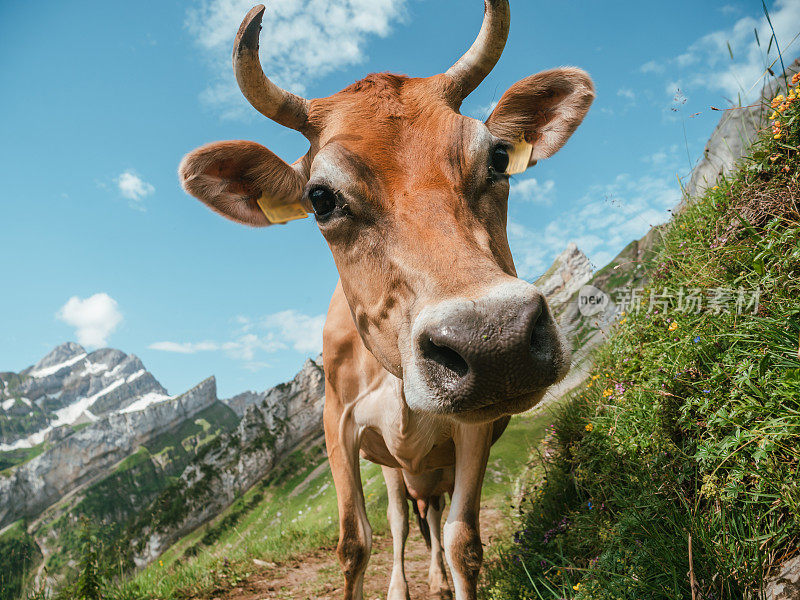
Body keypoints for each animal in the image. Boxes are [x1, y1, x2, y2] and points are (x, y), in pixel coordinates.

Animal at [181, 2, 592, 596]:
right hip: (394, 468)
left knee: (435, 519)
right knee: (402, 520)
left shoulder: (475, 430)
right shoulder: (338, 425)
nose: (495, 341)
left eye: (496, 157)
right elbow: (355, 543)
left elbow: (463, 540)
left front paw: (452, 571)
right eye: (320, 198)